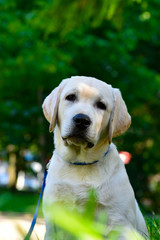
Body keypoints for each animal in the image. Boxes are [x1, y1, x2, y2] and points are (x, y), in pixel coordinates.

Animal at [42, 76, 149, 238]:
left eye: (101, 105)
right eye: (70, 97)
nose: (81, 120)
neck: (80, 163)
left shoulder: (120, 222)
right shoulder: (55, 220)